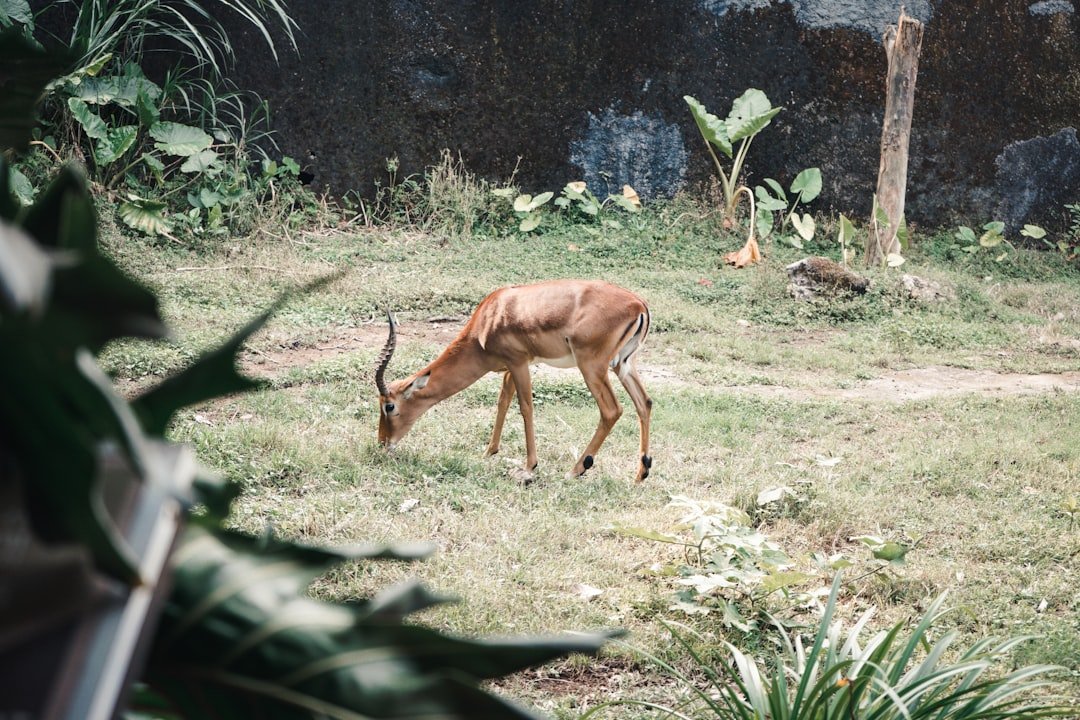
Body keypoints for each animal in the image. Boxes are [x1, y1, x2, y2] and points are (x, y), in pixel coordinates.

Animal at [374, 279, 653, 482]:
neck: (489, 319)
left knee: (612, 410)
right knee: (645, 403)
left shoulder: (518, 363)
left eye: (390, 406)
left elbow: (525, 408)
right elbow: (503, 403)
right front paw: (489, 451)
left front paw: (529, 466)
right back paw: (641, 473)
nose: (383, 443)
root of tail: (638, 305)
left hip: (592, 367)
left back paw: (576, 470)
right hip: (623, 365)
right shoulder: (510, 368)